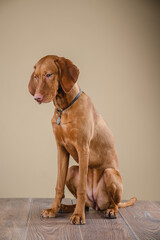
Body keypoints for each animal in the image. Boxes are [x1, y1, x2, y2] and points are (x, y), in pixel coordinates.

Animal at [27, 55, 136, 224]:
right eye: (36, 77)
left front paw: (78, 216)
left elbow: (82, 190)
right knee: (86, 204)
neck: (64, 109)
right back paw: (66, 207)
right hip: (72, 171)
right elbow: (59, 186)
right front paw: (53, 209)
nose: (37, 97)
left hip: (110, 174)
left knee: (114, 202)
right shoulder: (61, 149)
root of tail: (97, 203)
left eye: (49, 75)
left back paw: (109, 211)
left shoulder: (83, 148)